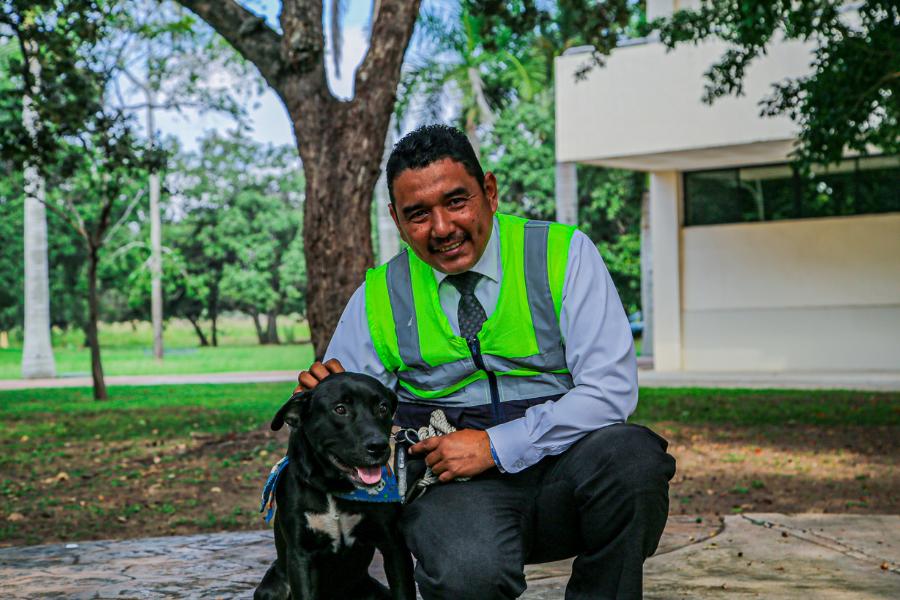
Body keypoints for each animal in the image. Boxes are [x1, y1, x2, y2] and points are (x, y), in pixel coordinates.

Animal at [253, 372, 414, 596]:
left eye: (383, 408)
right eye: (340, 409)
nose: (378, 446)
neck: (334, 486)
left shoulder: (394, 546)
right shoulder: (301, 556)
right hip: (273, 587)